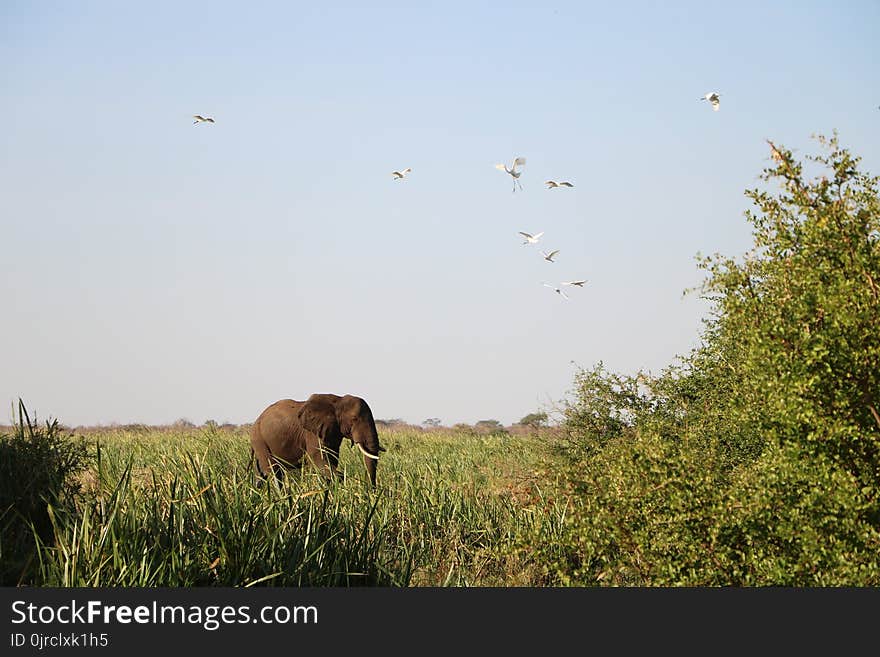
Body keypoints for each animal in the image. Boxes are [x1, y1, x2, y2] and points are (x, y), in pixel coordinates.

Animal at [249, 392, 384, 484]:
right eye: (354, 419)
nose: (370, 491)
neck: (338, 401)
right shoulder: (312, 433)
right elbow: (319, 460)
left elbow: (331, 459)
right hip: (259, 440)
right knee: (274, 473)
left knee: (261, 476)